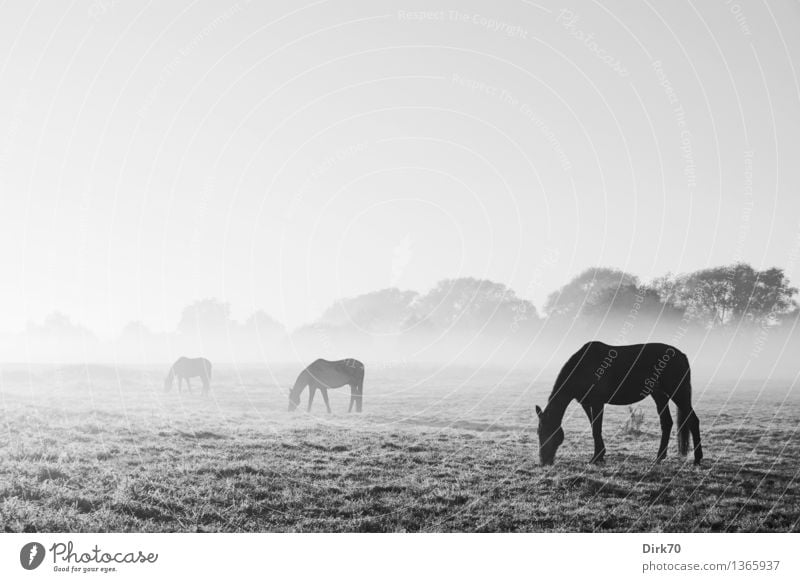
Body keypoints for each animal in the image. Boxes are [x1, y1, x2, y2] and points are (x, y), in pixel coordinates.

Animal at [536, 344, 700, 468]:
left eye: (550, 432)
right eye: (539, 433)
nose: (544, 461)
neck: (583, 367)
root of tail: (682, 355)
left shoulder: (597, 403)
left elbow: (596, 429)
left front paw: (596, 458)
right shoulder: (586, 403)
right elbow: (594, 427)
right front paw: (600, 455)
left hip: (678, 392)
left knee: (693, 420)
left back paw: (697, 459)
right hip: (659, 394)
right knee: (666, 422)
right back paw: (659, 457)